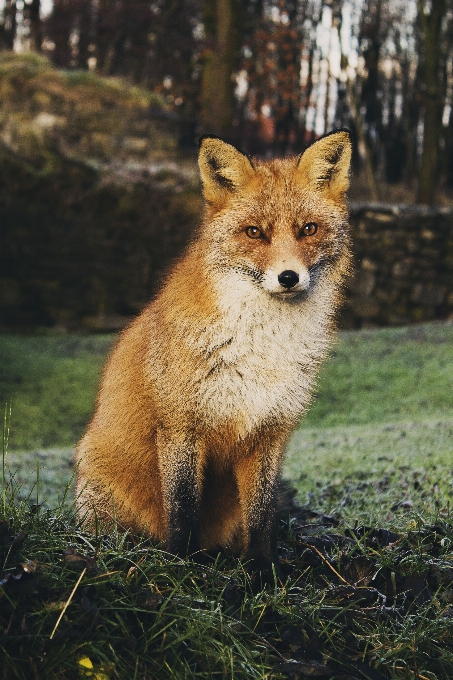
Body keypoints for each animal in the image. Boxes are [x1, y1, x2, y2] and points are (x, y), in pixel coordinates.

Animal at [74, 130, 352, 576]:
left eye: (308, 229)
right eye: (254, 232)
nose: (288, 277)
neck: (262, 348)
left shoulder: (269, 432)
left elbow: (262, 515)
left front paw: (262, 571)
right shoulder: (181, 427)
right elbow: (183, 508)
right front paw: (183, 566)